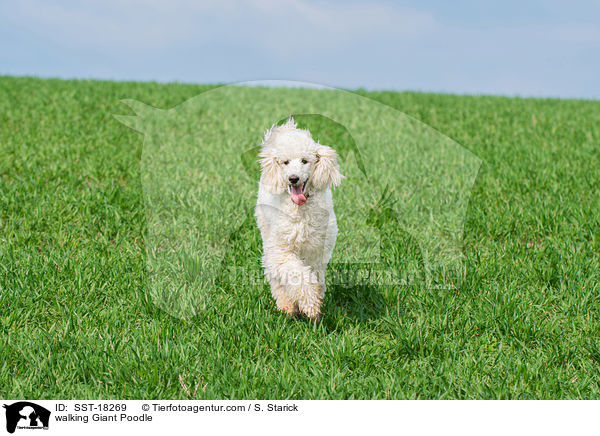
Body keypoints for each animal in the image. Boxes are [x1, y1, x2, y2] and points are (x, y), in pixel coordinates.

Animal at [254, 118, 342, 320]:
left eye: (305, 161)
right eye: (285, 162)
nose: (293, 178)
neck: (300, 210)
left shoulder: (316, 252)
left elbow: (313, 277)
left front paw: (315, 304)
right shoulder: (282, 250)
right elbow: (297, 276)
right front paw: (309, 305)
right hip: (268, 235)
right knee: (275, 275)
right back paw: (287, 306)